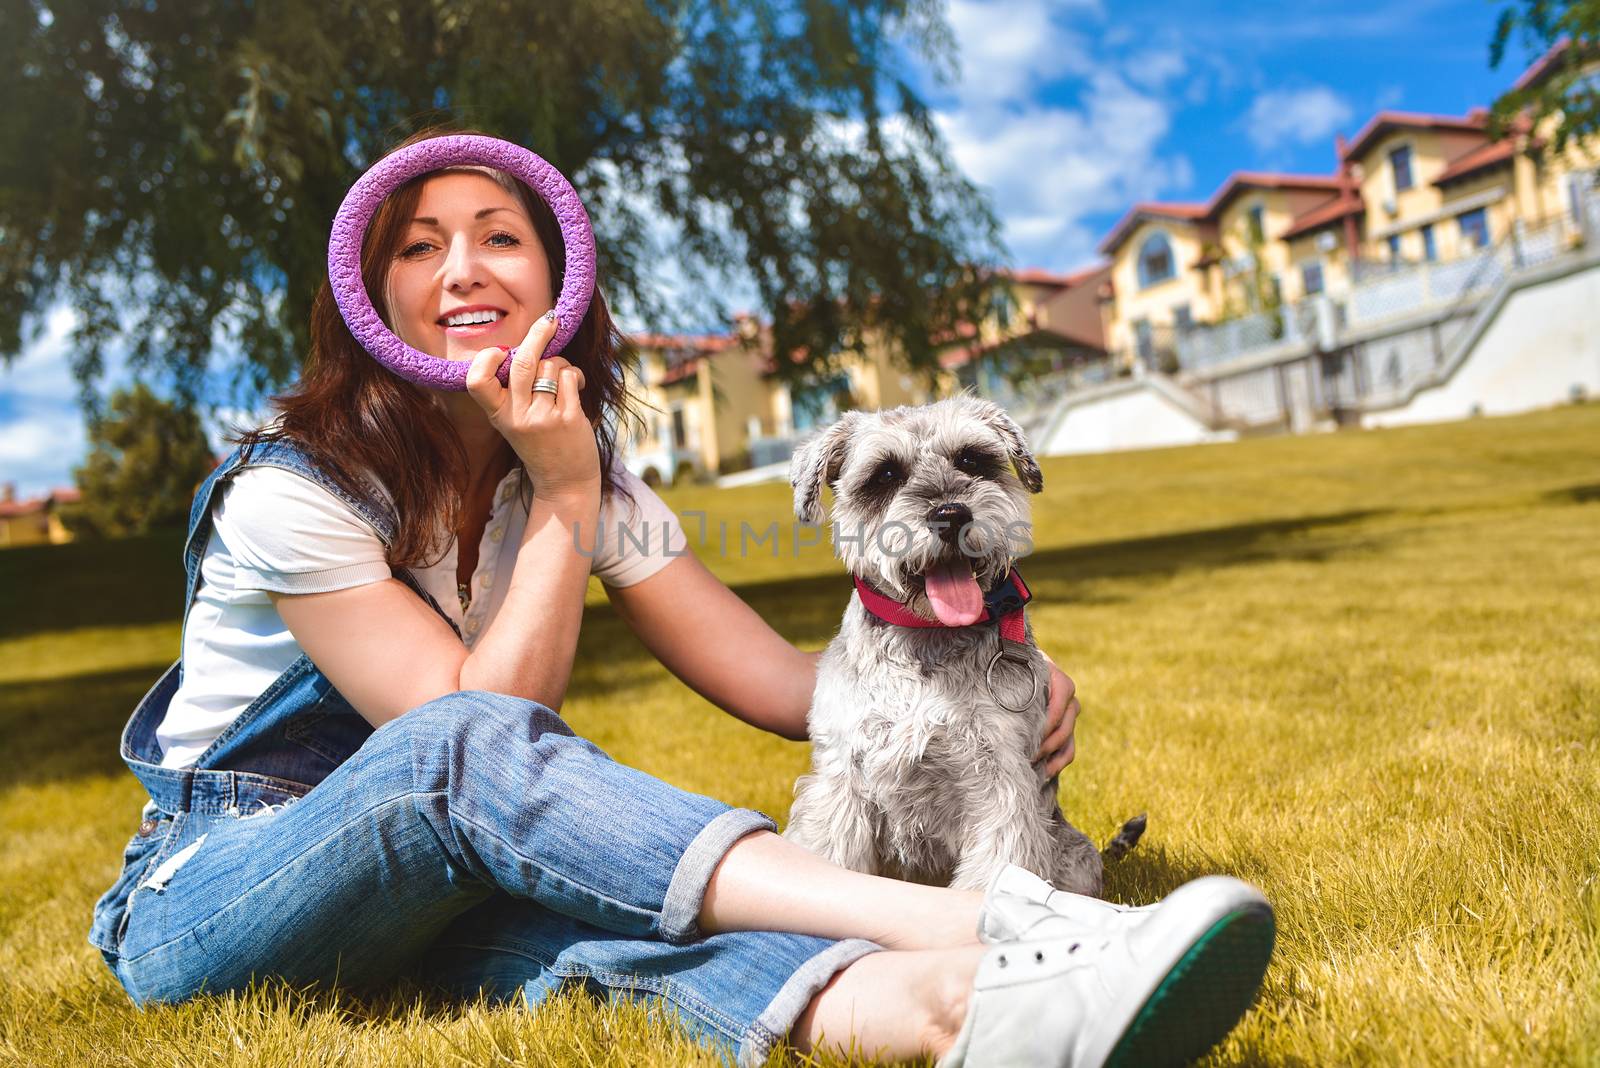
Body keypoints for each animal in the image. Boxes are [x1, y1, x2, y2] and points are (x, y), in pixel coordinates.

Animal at [784, 391, 1139, 895]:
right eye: (885, 474)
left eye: (971, 459)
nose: (950, 515)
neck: (925, 642)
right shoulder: (840, 780)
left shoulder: (999, 779)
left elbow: (995, 869)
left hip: (1077, 858)